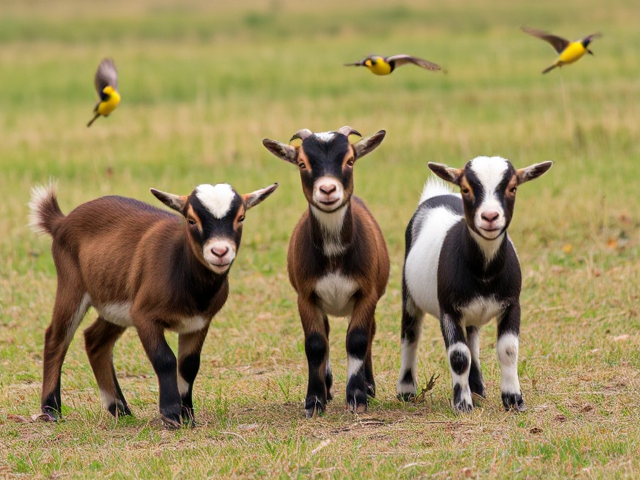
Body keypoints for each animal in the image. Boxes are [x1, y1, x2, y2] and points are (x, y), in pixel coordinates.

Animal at [29, 181, 278, 427]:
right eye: (191, 219)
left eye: (241, 217)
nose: (220, 251)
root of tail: (61, 222)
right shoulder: (144, 316)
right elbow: (165, 358)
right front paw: (171, 415)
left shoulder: (198, 323)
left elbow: (189, 365)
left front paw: (188, 416)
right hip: (72, 285)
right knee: (56, 337)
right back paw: (51, 409)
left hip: (116, 306)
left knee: (95, 340)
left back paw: (119, 409)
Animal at [262, 126, 389, 417]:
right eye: (302, 163)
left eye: (350, 160)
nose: (328, 189)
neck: (333, 255)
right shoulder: (306, 296)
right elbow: (316, 343)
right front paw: (314, 400)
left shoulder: (366, 294)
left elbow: (357, 339)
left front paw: (357, 398)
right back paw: (329, 386)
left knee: (369, 333)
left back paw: (368, 385)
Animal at [396, 156, 552, 412]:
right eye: (466, 189)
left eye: (513, 187)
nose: (490, 217)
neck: (484, 273)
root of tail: (435, 195)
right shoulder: (449, 310)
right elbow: (459, 356)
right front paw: (462, 403)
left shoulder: (512, 304)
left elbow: (508, 349)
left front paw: (513, 399)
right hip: (409, 294)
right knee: (411, 336)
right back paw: (406, 390)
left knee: (472, 340)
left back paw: (477, 388)